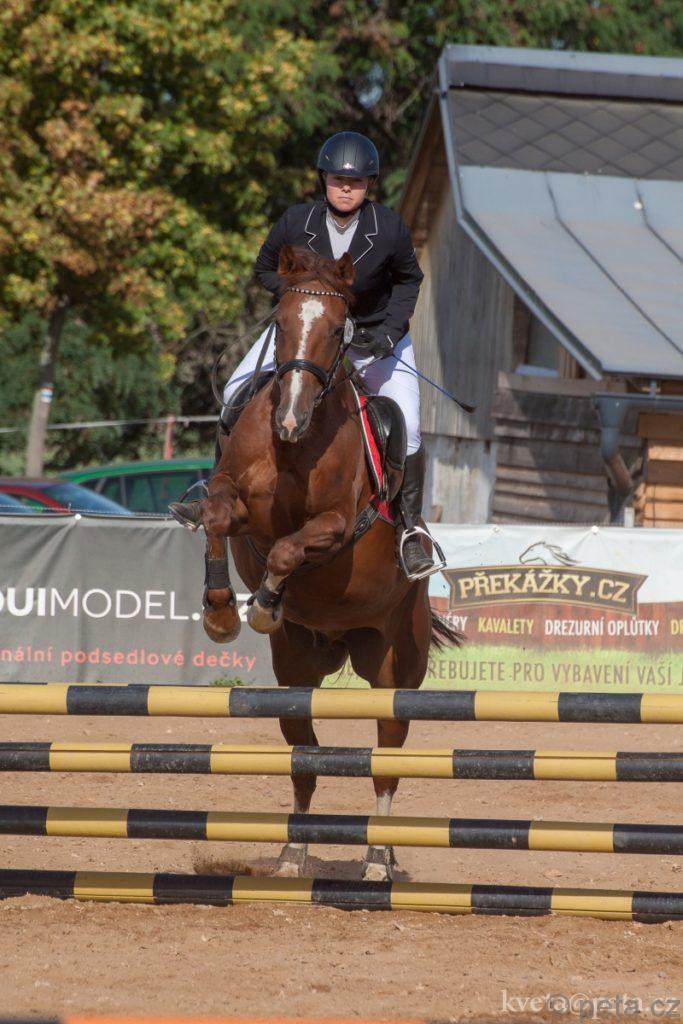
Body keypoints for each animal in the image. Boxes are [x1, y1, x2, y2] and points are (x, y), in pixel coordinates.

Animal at [197, 244, 461, 881]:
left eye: (340, 330)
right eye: (282, 320)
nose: (289, 421)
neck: (296, 446)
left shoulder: (336, 525)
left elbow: (290, 548)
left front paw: (264, 605)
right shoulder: (235, 502)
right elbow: (217, 517)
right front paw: (220, 612)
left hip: (395, 669)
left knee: (386, 760)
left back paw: (377, 860)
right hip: (297, 671)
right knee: (305, 755)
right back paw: (293, 855)